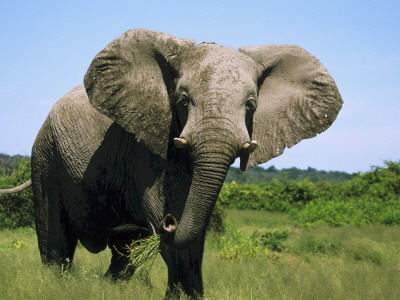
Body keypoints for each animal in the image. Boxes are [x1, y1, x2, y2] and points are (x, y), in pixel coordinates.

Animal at [1, 28, 342, 298]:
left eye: (251, 105)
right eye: (183, 100)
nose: (170, 220)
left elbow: (196, 235)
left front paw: (192, 296)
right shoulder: (145, 146)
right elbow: (164, 221)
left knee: (124, 252)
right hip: (45, 156)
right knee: (55, 241)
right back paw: (56, 286)